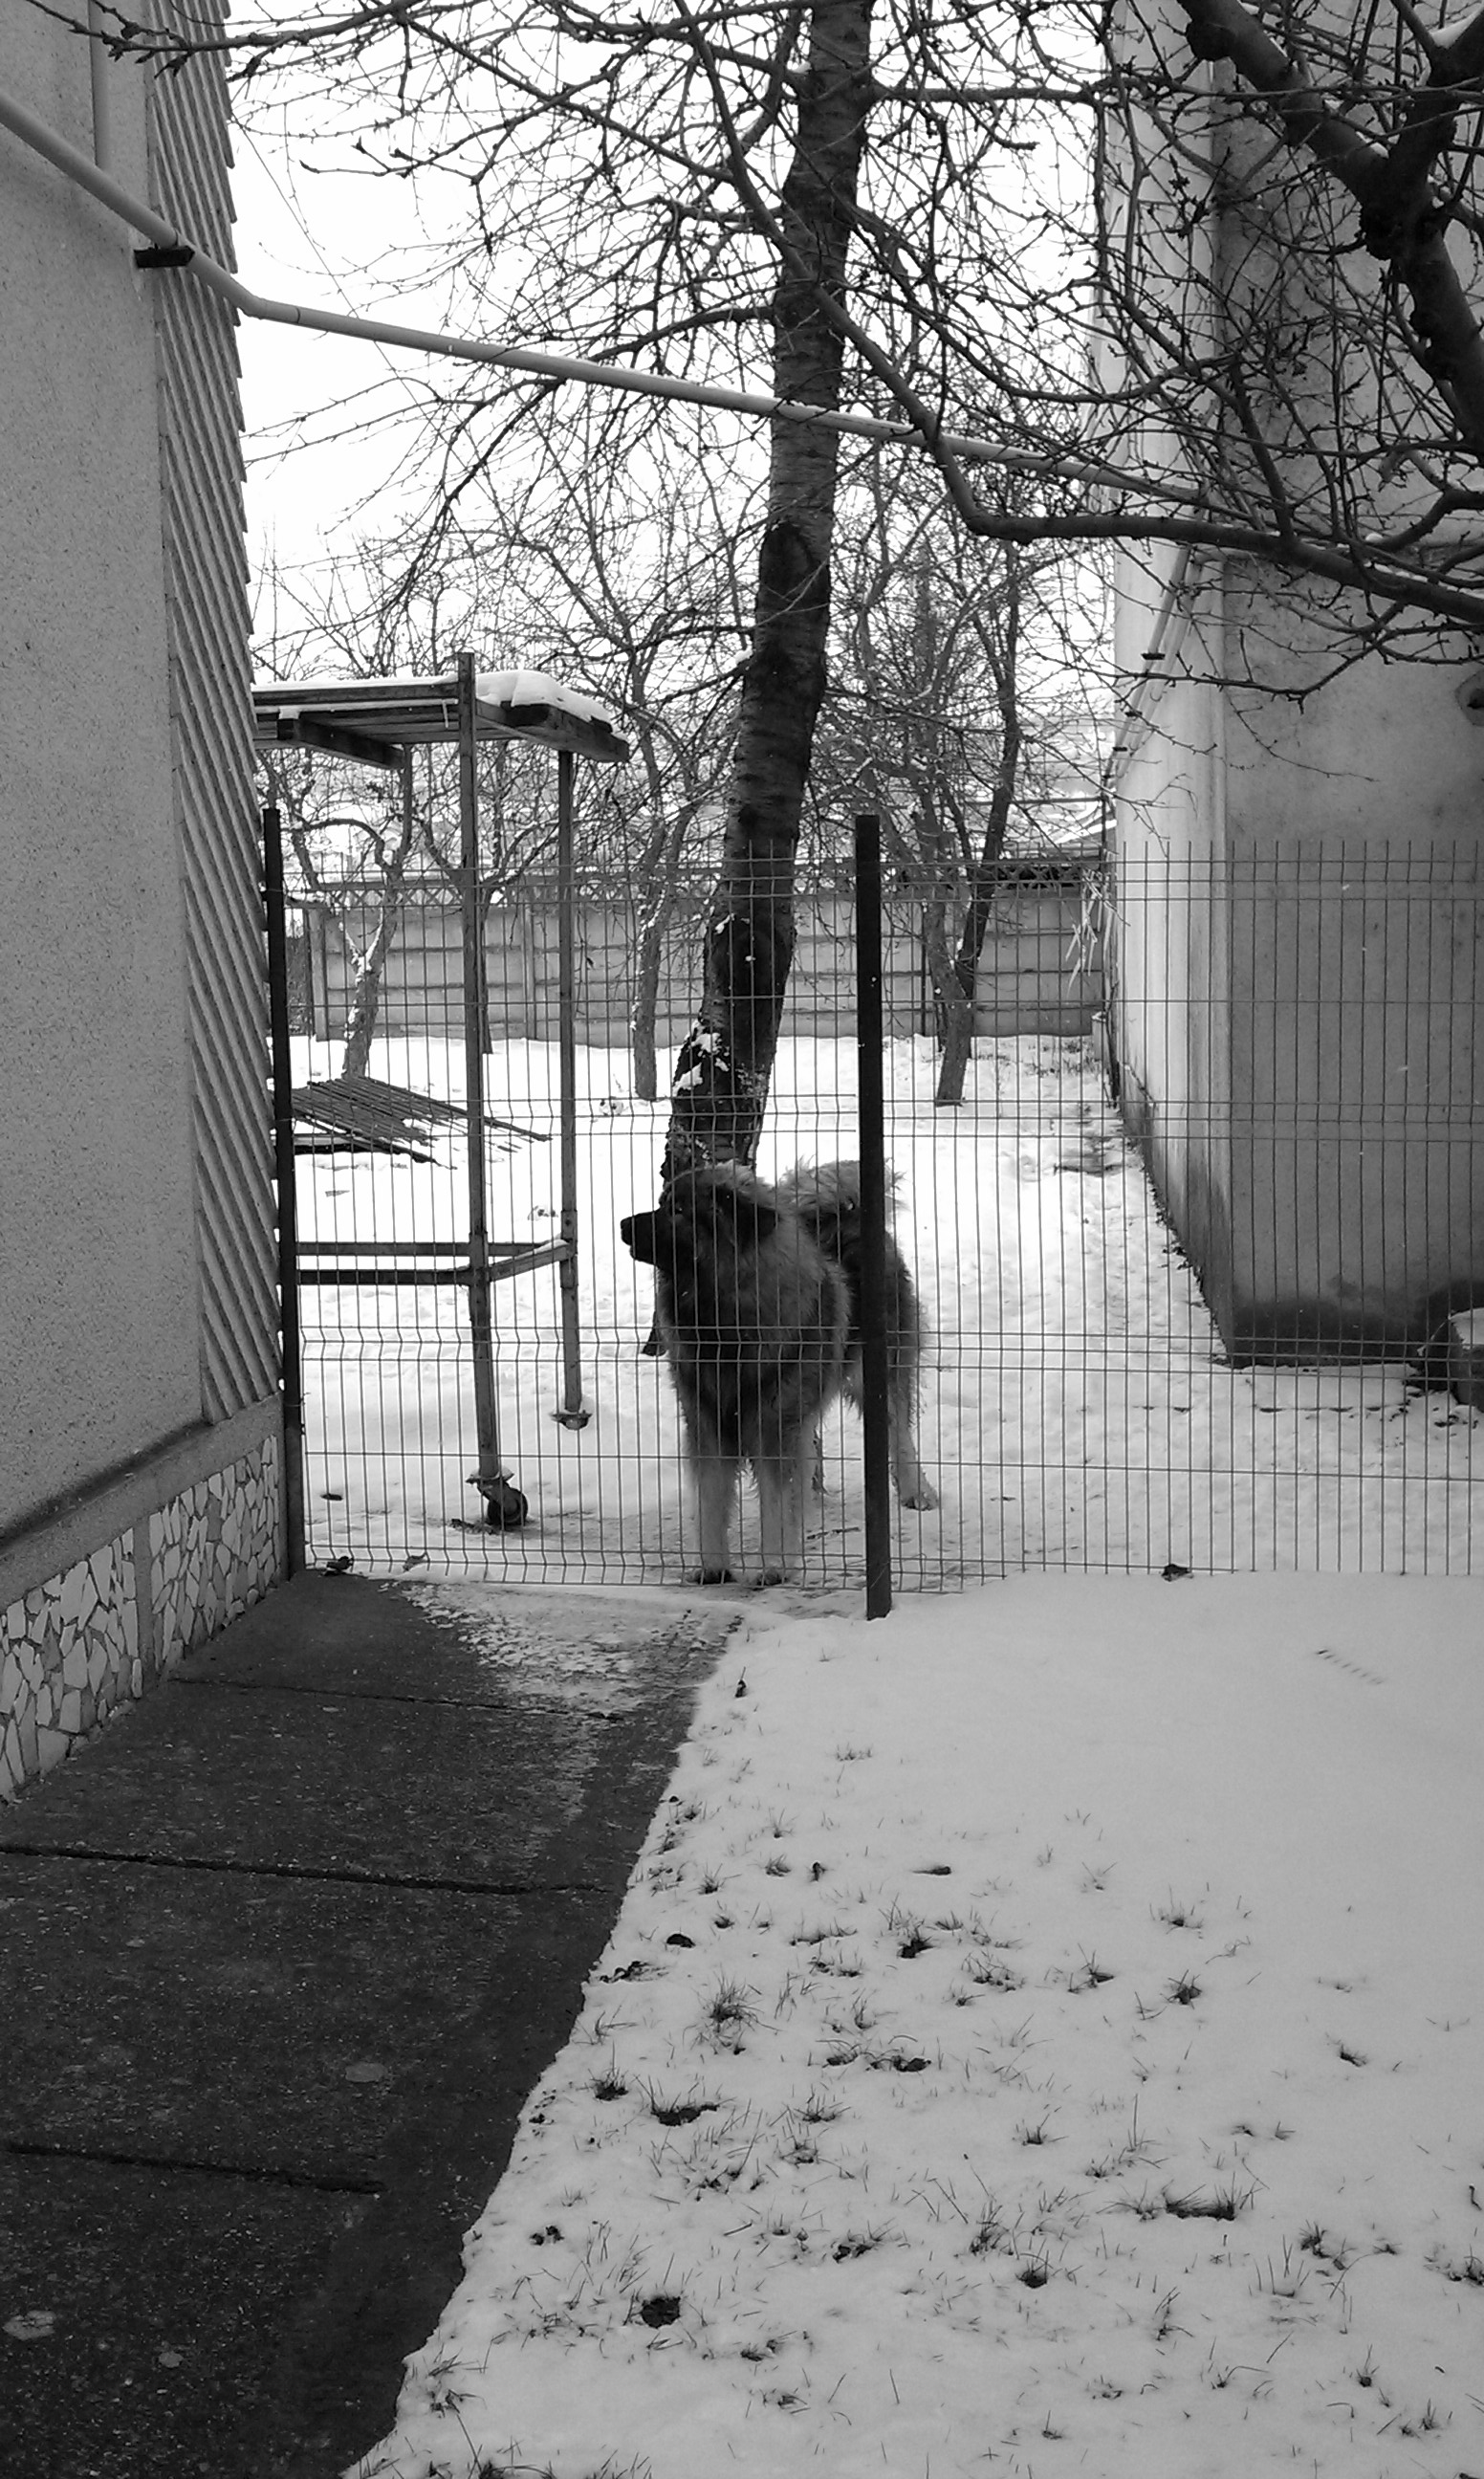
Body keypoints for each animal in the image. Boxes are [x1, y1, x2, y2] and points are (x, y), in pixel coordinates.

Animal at [620, 1159, 936, 1584]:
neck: (722, 1312)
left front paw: (775, 1566)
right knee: (814, 1447)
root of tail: (848, 1210)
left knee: (899, 1432)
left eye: (678, 1211)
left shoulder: (773, 1428)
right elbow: (711, 1501)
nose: (623, 1224)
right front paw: (713, 1567)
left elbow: (777, 1502)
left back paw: (916, 1491)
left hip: (880, 1372)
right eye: (664, 1202)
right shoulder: (708, 1423)